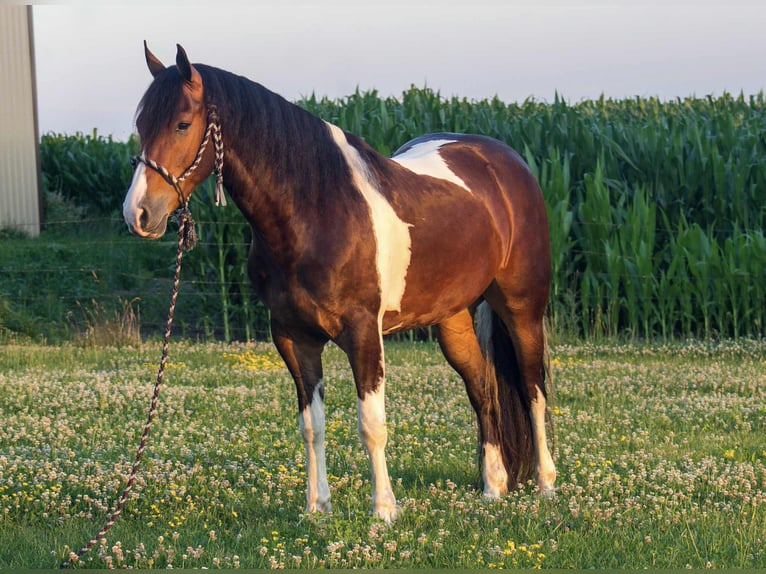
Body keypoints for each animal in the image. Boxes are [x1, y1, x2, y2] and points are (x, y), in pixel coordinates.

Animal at [123, 43, 556, 522]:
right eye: (141, 125)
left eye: (182, 123)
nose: (138, 213)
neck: (318, 207)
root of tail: (504, 162)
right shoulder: (293, 337)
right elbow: (311, 425)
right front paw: (317, 508)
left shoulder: (364, 332)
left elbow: (372, 424)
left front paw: (383, 511)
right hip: (452, 318)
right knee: (483, 390)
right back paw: (493, 488)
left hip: (521, 307)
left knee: (533, 388)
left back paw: (546, 485)